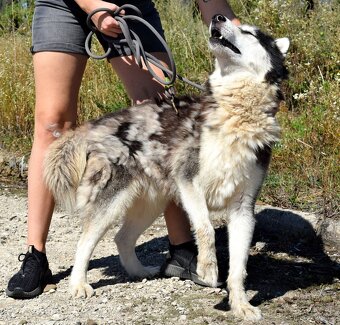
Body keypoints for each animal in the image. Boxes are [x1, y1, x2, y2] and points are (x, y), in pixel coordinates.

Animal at [43, 14, 290, 318]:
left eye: (249, 33)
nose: (217, 17)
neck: (234, 116)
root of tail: (98, 124)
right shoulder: (189, 183)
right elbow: (206, 228)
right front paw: (207, 269)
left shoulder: (243, 209)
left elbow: (238, 269)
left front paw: (240, 304)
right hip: (112, 203)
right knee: (85, 241)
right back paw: (78, 284)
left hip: (150, 205)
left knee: (122, 238)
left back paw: (138, 272)